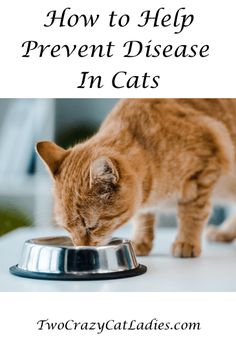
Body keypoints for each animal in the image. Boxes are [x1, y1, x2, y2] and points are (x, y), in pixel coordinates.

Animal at [36, 99, 236, 258]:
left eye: (91, 227)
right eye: (66, 228)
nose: (81, 249)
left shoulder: (204, 171)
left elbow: (192, 213)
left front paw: (186, 242)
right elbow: (143, 217)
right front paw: (140, 241)